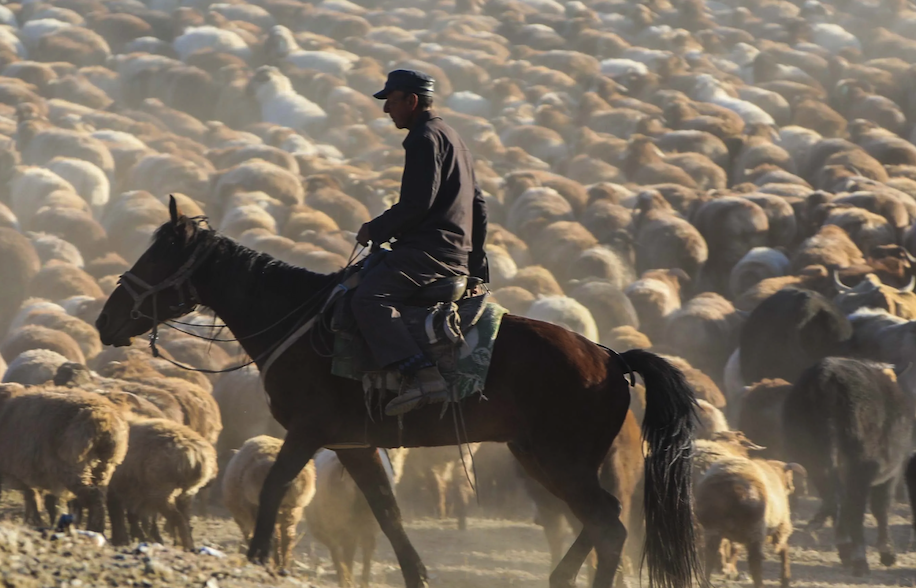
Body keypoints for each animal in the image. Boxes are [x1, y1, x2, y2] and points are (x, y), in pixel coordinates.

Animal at [0, 384, 129, 532]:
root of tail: (104, 419)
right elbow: (34, 498)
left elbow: (32, 498)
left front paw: (33, 522)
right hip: (105, 467)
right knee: (100, 498)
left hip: (72, 466)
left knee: (92, 497)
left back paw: (94, 529)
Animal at [108, 416, 217, 548]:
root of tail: (196, 455)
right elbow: (134, 515)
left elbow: (118, 513)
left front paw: (121, 540)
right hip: (185, 493)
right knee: (184, 519)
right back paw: (187, 545)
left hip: (162, 491)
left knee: (177, 518)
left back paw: (183, 545)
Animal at [224, 436, 316, 568]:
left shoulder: (243, 518)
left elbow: (249, 535)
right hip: (292, 511)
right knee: (288, 537)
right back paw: (283, 566)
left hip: (265, 510)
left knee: (272, 537)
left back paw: (272, 562)